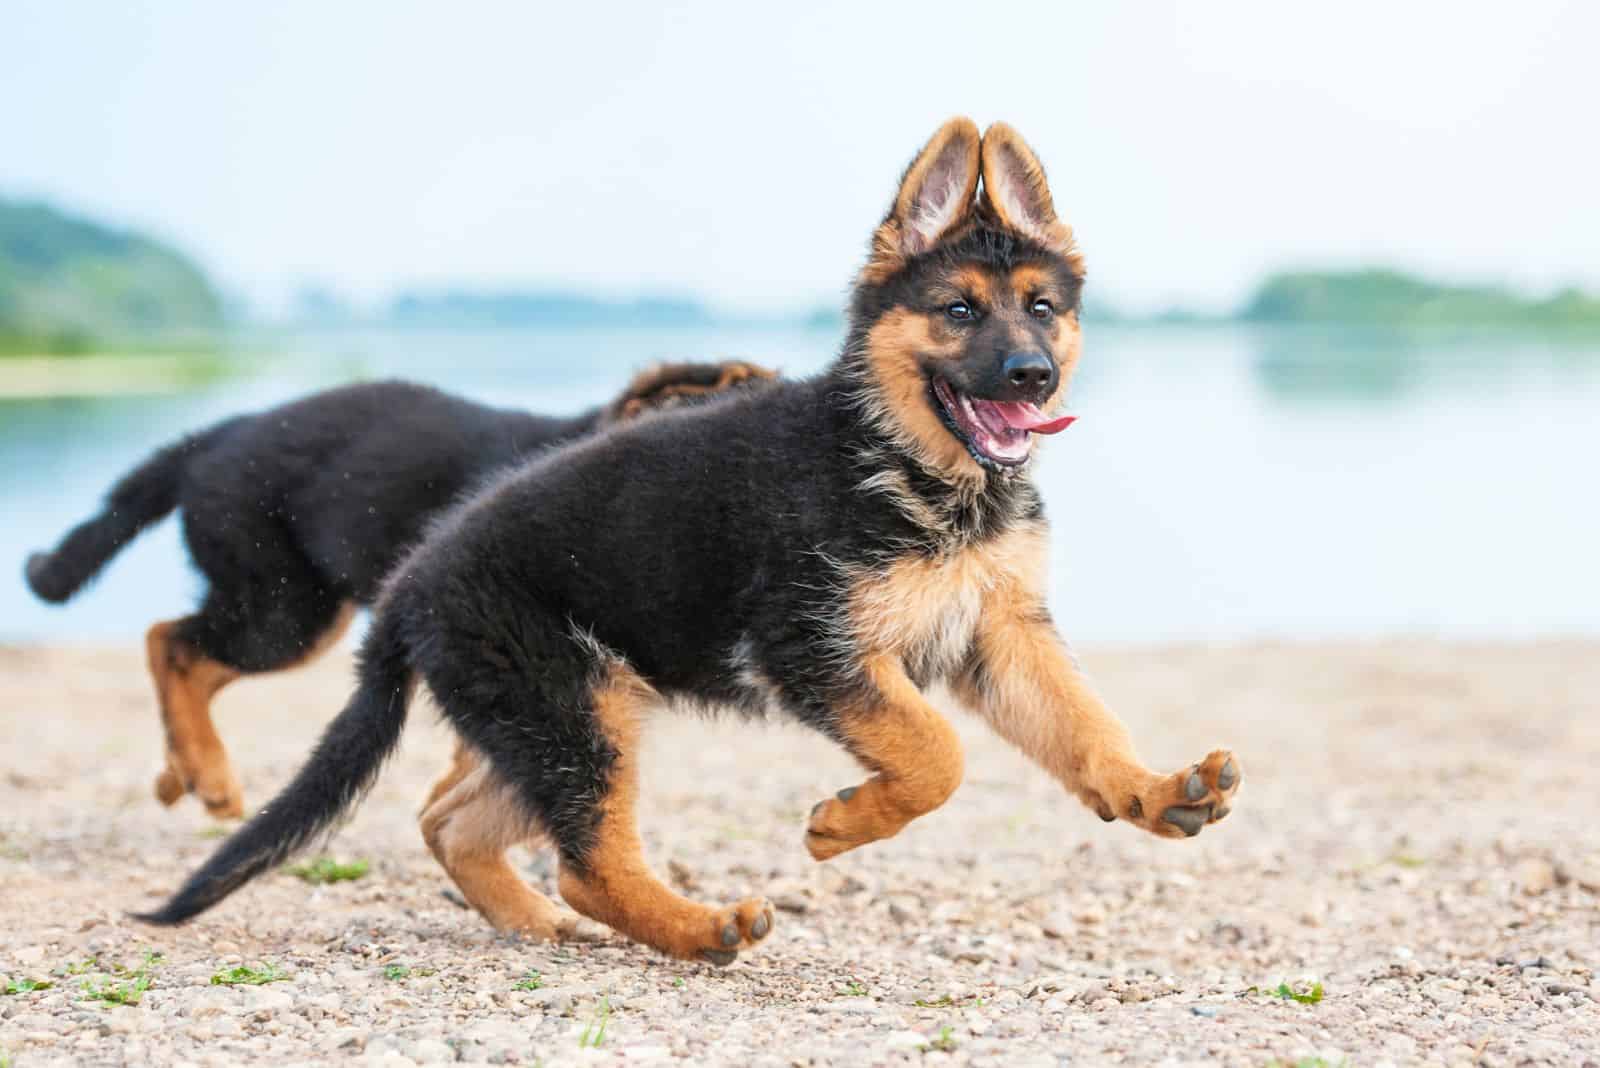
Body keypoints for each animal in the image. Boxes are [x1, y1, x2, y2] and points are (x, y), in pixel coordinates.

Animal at [25, 361, 774, 818]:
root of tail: (217, 436)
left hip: (302, 612)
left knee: (187, 654)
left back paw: (183, 771)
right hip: (283, 612)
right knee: (169, 642)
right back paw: (205, 773)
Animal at [140, 119, 1235, 965]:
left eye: (1042, 309)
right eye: (959, 310)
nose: (1030, 377)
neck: (899, 458)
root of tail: (413, 585)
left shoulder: (998, 633)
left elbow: (1083, 726)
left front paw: (1152, 792)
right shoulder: (813, 645)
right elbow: (937, 755)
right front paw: (844, 823)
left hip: (563, 715)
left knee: (457, 822)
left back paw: (538, 922)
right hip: (568, 710)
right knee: (584, 860)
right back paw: (697, 930)